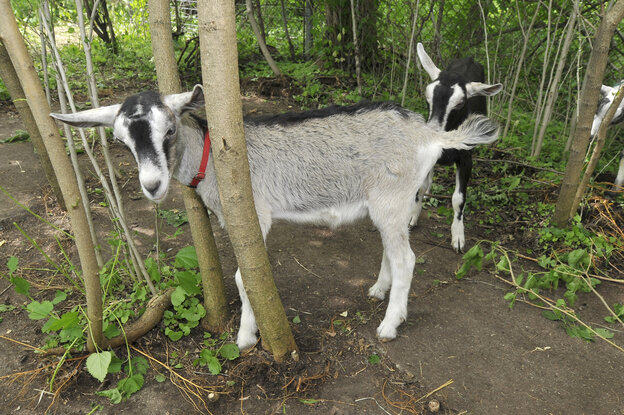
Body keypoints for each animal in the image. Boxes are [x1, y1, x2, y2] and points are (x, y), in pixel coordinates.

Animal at [52, 84, 502, 352]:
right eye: (121, 141)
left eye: (169, 131)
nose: (152, 185)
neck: (211, 159)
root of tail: (432, 135)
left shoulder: (257, 213)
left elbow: (244, 276)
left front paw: (245, 338)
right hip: (390, 201)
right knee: (392, 249)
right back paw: (378, 288)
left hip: (391, 196)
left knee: (407, 258)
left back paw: (390, 324)